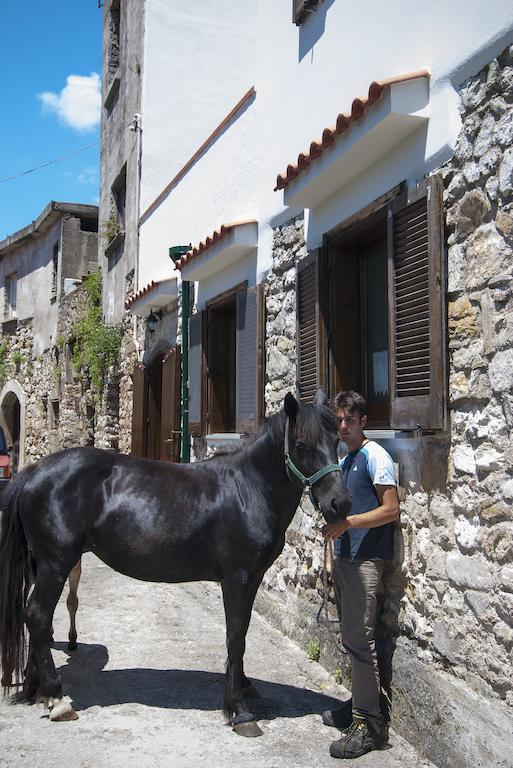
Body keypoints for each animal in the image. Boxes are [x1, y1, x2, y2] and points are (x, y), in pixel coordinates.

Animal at [0, 392, 350, 736]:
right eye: (301, 445)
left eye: (337, 440)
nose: (340, 503)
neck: (248, 490)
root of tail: (33, 472)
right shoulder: (236, 578)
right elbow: (235, 635)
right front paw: (238, 711)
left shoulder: (252, 579)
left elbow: (244, 631)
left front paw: (244, 685)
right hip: (56, 564)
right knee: (38, 616)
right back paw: (57, 699)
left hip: (42, 565)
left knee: (37, 619)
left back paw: (37, 690)